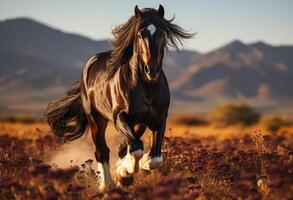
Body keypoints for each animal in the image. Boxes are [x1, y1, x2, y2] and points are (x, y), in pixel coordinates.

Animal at [44, 4, 193, 191]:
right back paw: (106, 184)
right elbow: (136, 149)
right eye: (140, 34)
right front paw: (126, 172)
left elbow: (154, 159)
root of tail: (90, 64)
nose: (151, 70)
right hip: (96, 120)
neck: (148, 88)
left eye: (162, 33)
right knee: (102, 151)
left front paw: (129, 171)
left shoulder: (158, 119)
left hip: (139, 124)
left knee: (123, 147)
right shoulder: (120, 117)